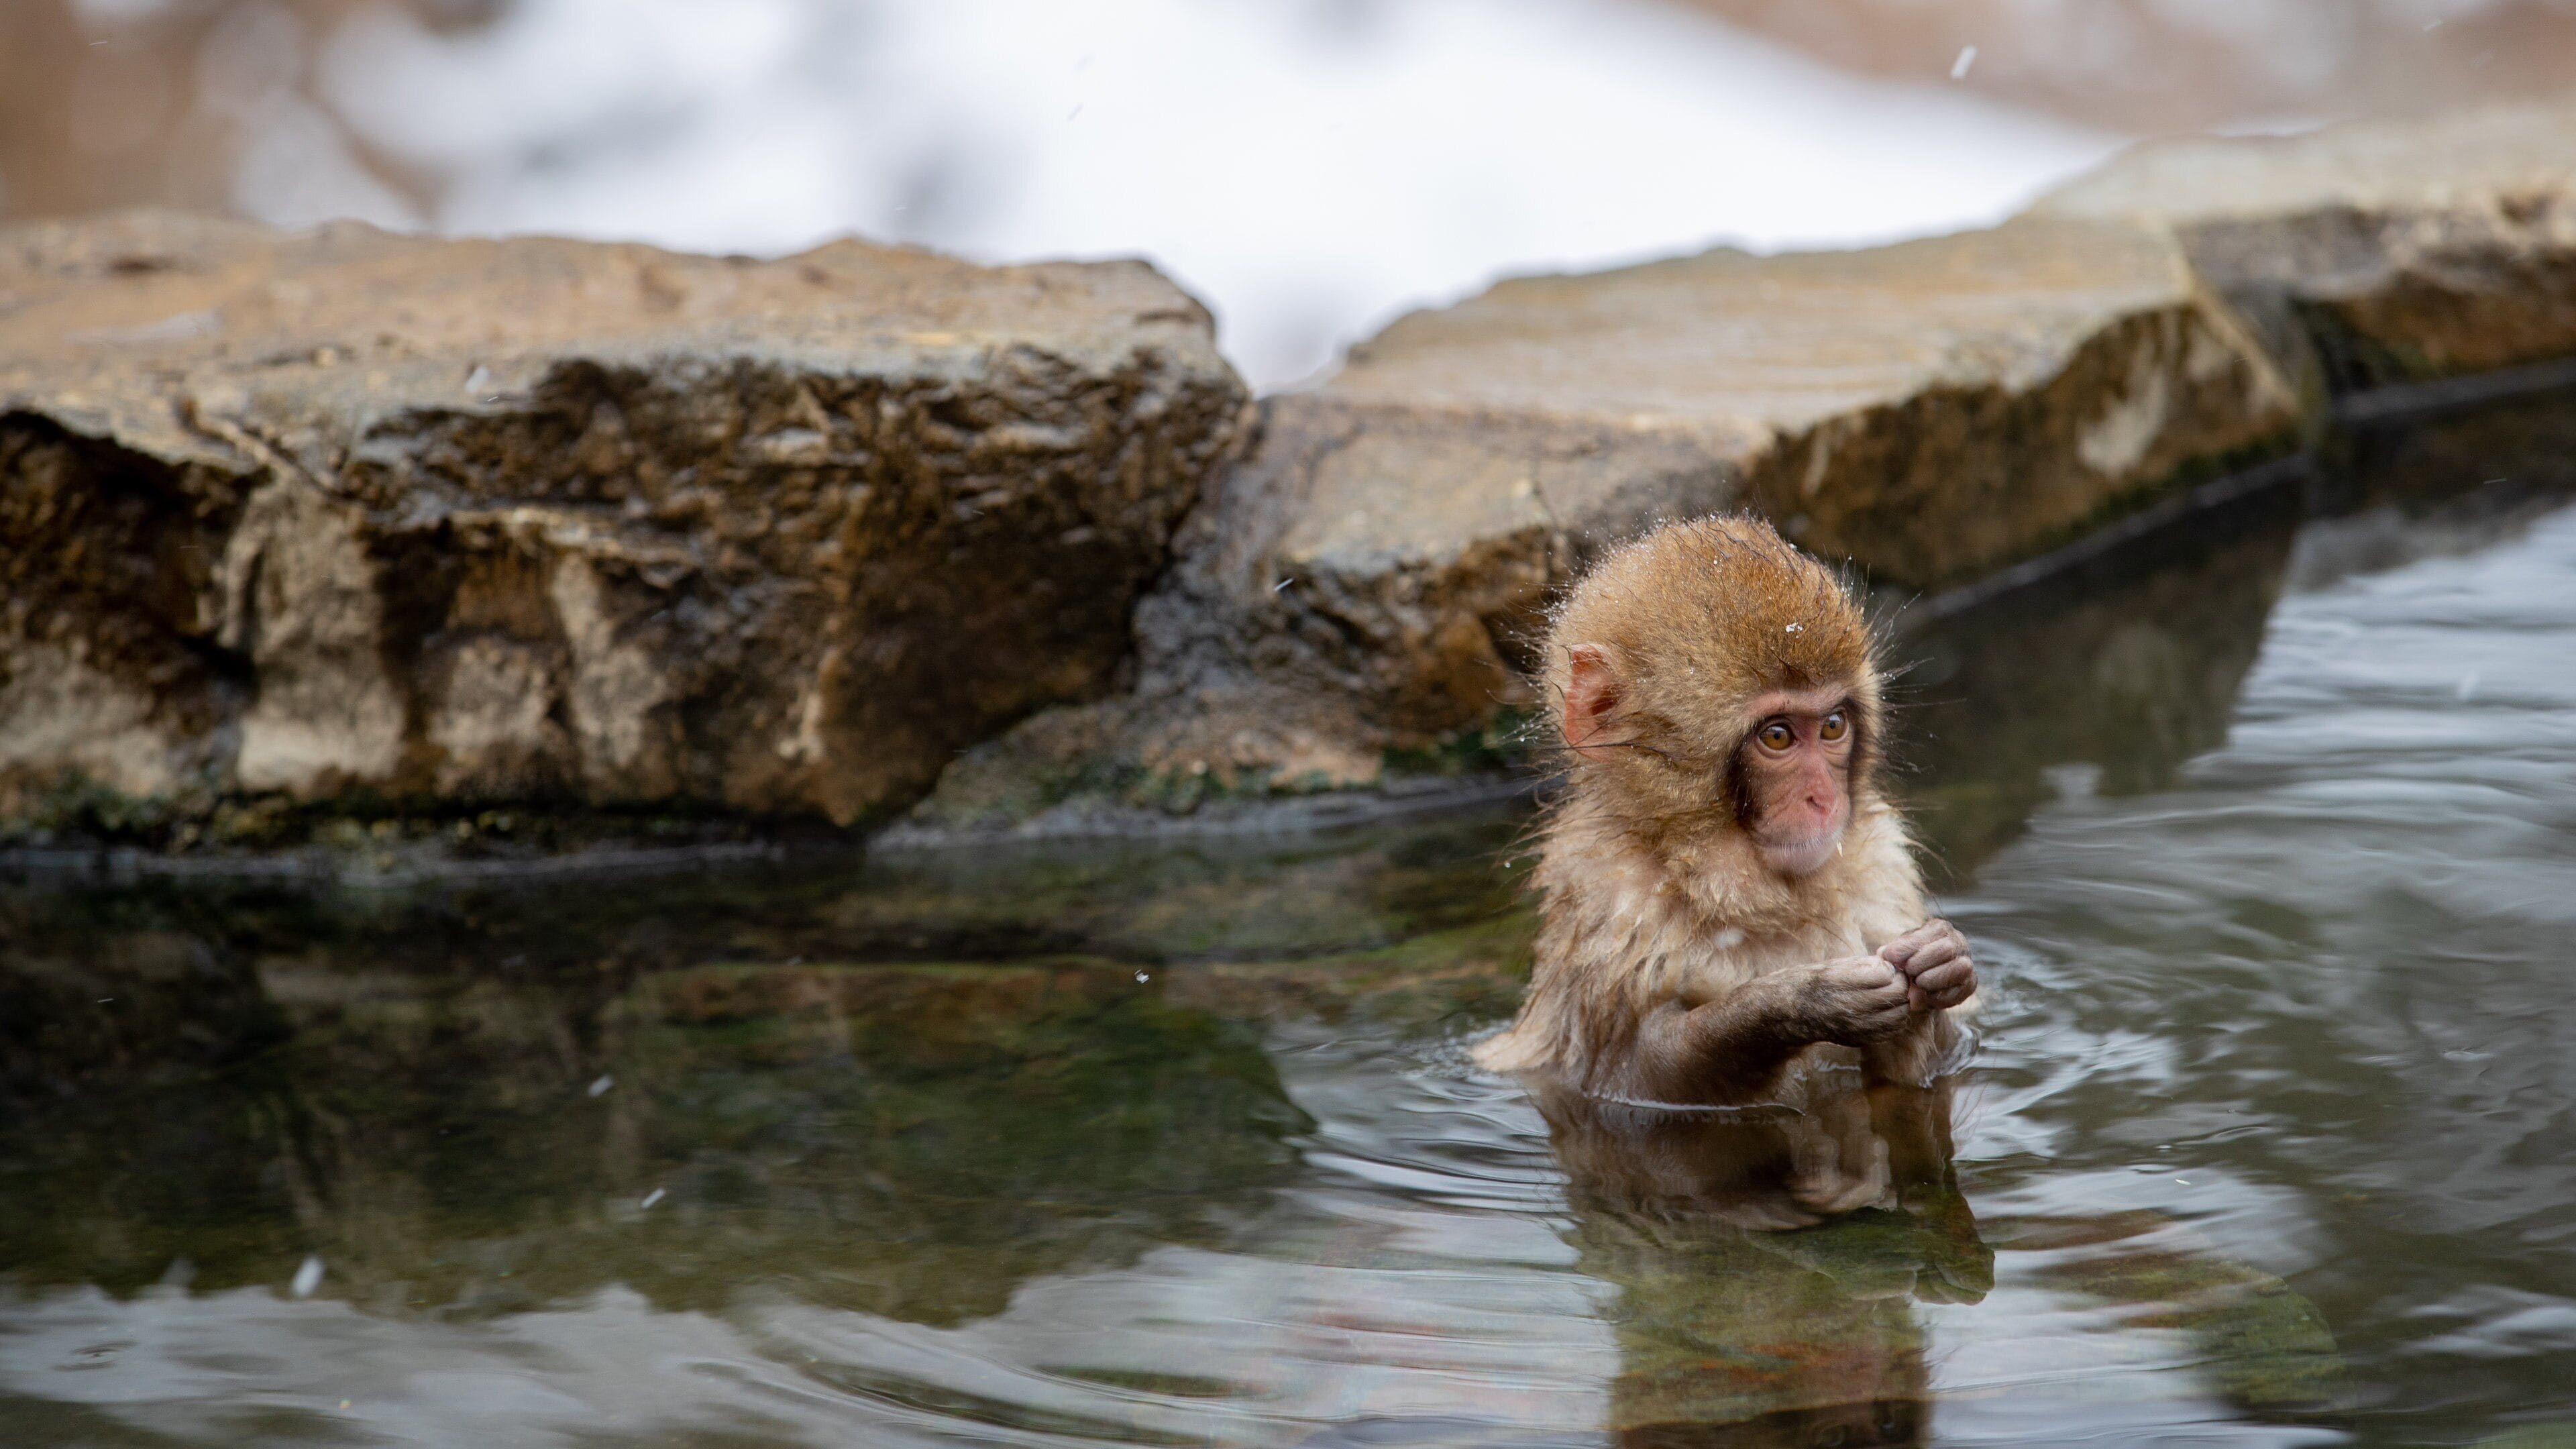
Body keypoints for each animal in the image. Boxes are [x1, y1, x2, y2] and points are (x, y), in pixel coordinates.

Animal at [1476, 515, 1976, 1109]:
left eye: (1833, 726)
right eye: (1777, 736)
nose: (1825, 800)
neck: (1732, 882)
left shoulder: (1883, 864)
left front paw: (1938, 968)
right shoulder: (1607, 901)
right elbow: (1629, 1081)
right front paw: (1792, 1002)